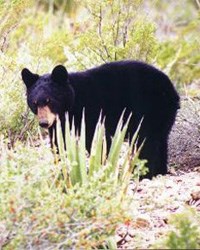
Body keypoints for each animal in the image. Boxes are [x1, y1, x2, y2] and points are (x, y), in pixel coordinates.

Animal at [21, 60, 180, 178]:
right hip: (162, 115)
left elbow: (99, 140)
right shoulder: (59, 124)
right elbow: (60, 145)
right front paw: (63, 171)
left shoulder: (91, 113)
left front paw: (102, 168)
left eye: (49, 101)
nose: (43, 123)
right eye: (34, 103)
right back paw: (160, 171)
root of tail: (172, 90)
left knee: (147, 141)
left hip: (149, 109)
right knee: (160, 140)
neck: (72, 104)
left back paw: (142, 174)